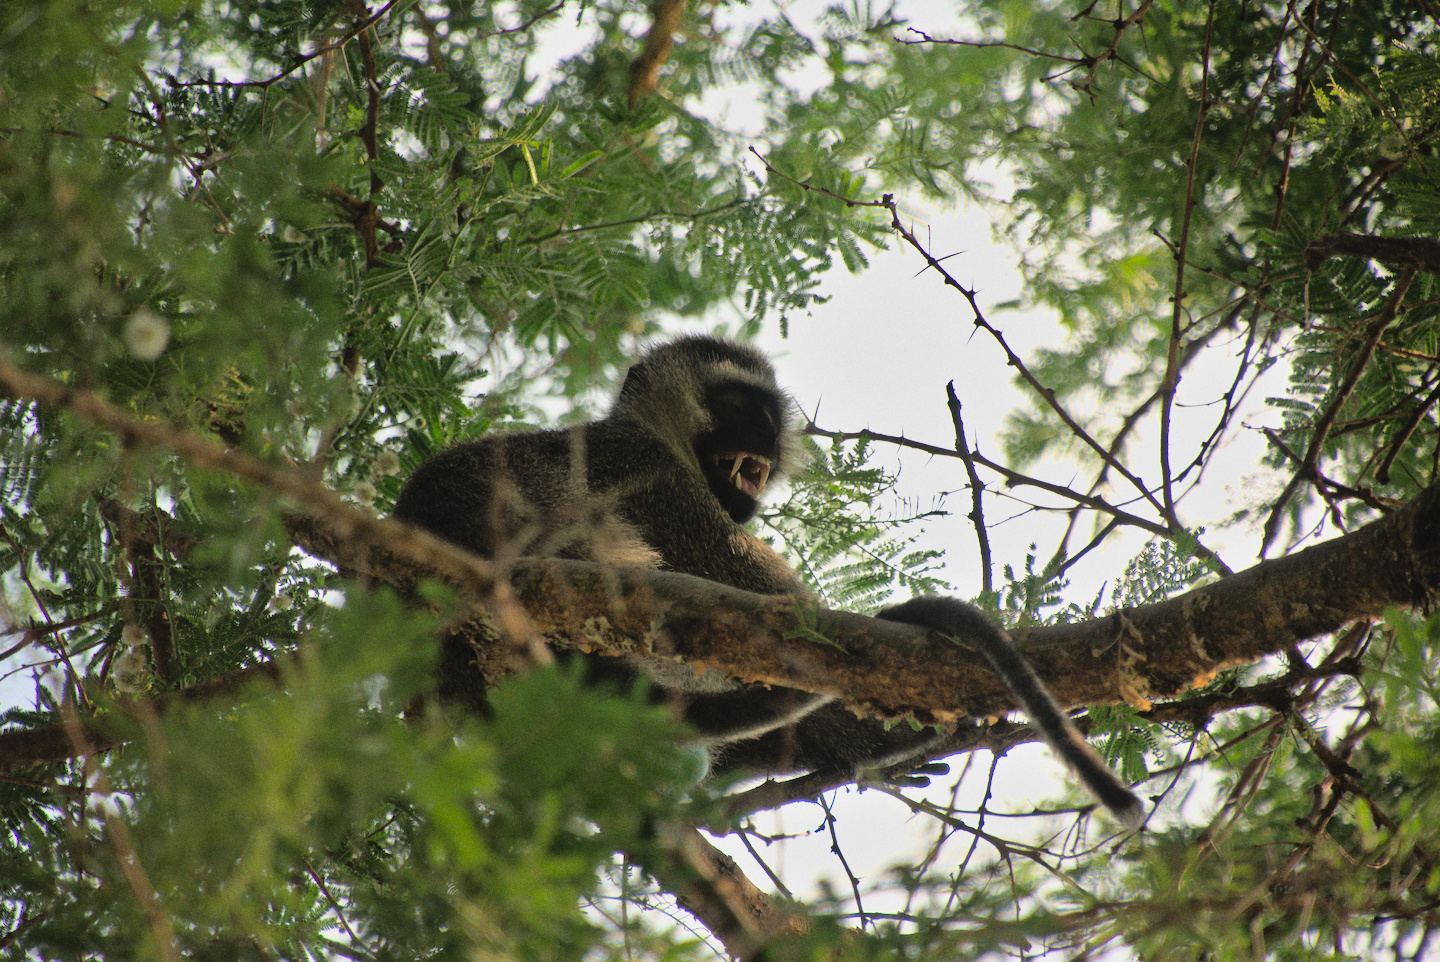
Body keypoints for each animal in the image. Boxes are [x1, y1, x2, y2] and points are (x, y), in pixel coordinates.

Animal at [394, 335, 1144, 828]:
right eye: (732, 396)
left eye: (769, 408)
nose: (761, 425)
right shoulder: (653, 476)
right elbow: (777, 609)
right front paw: (858, 733)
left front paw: (827, 742)